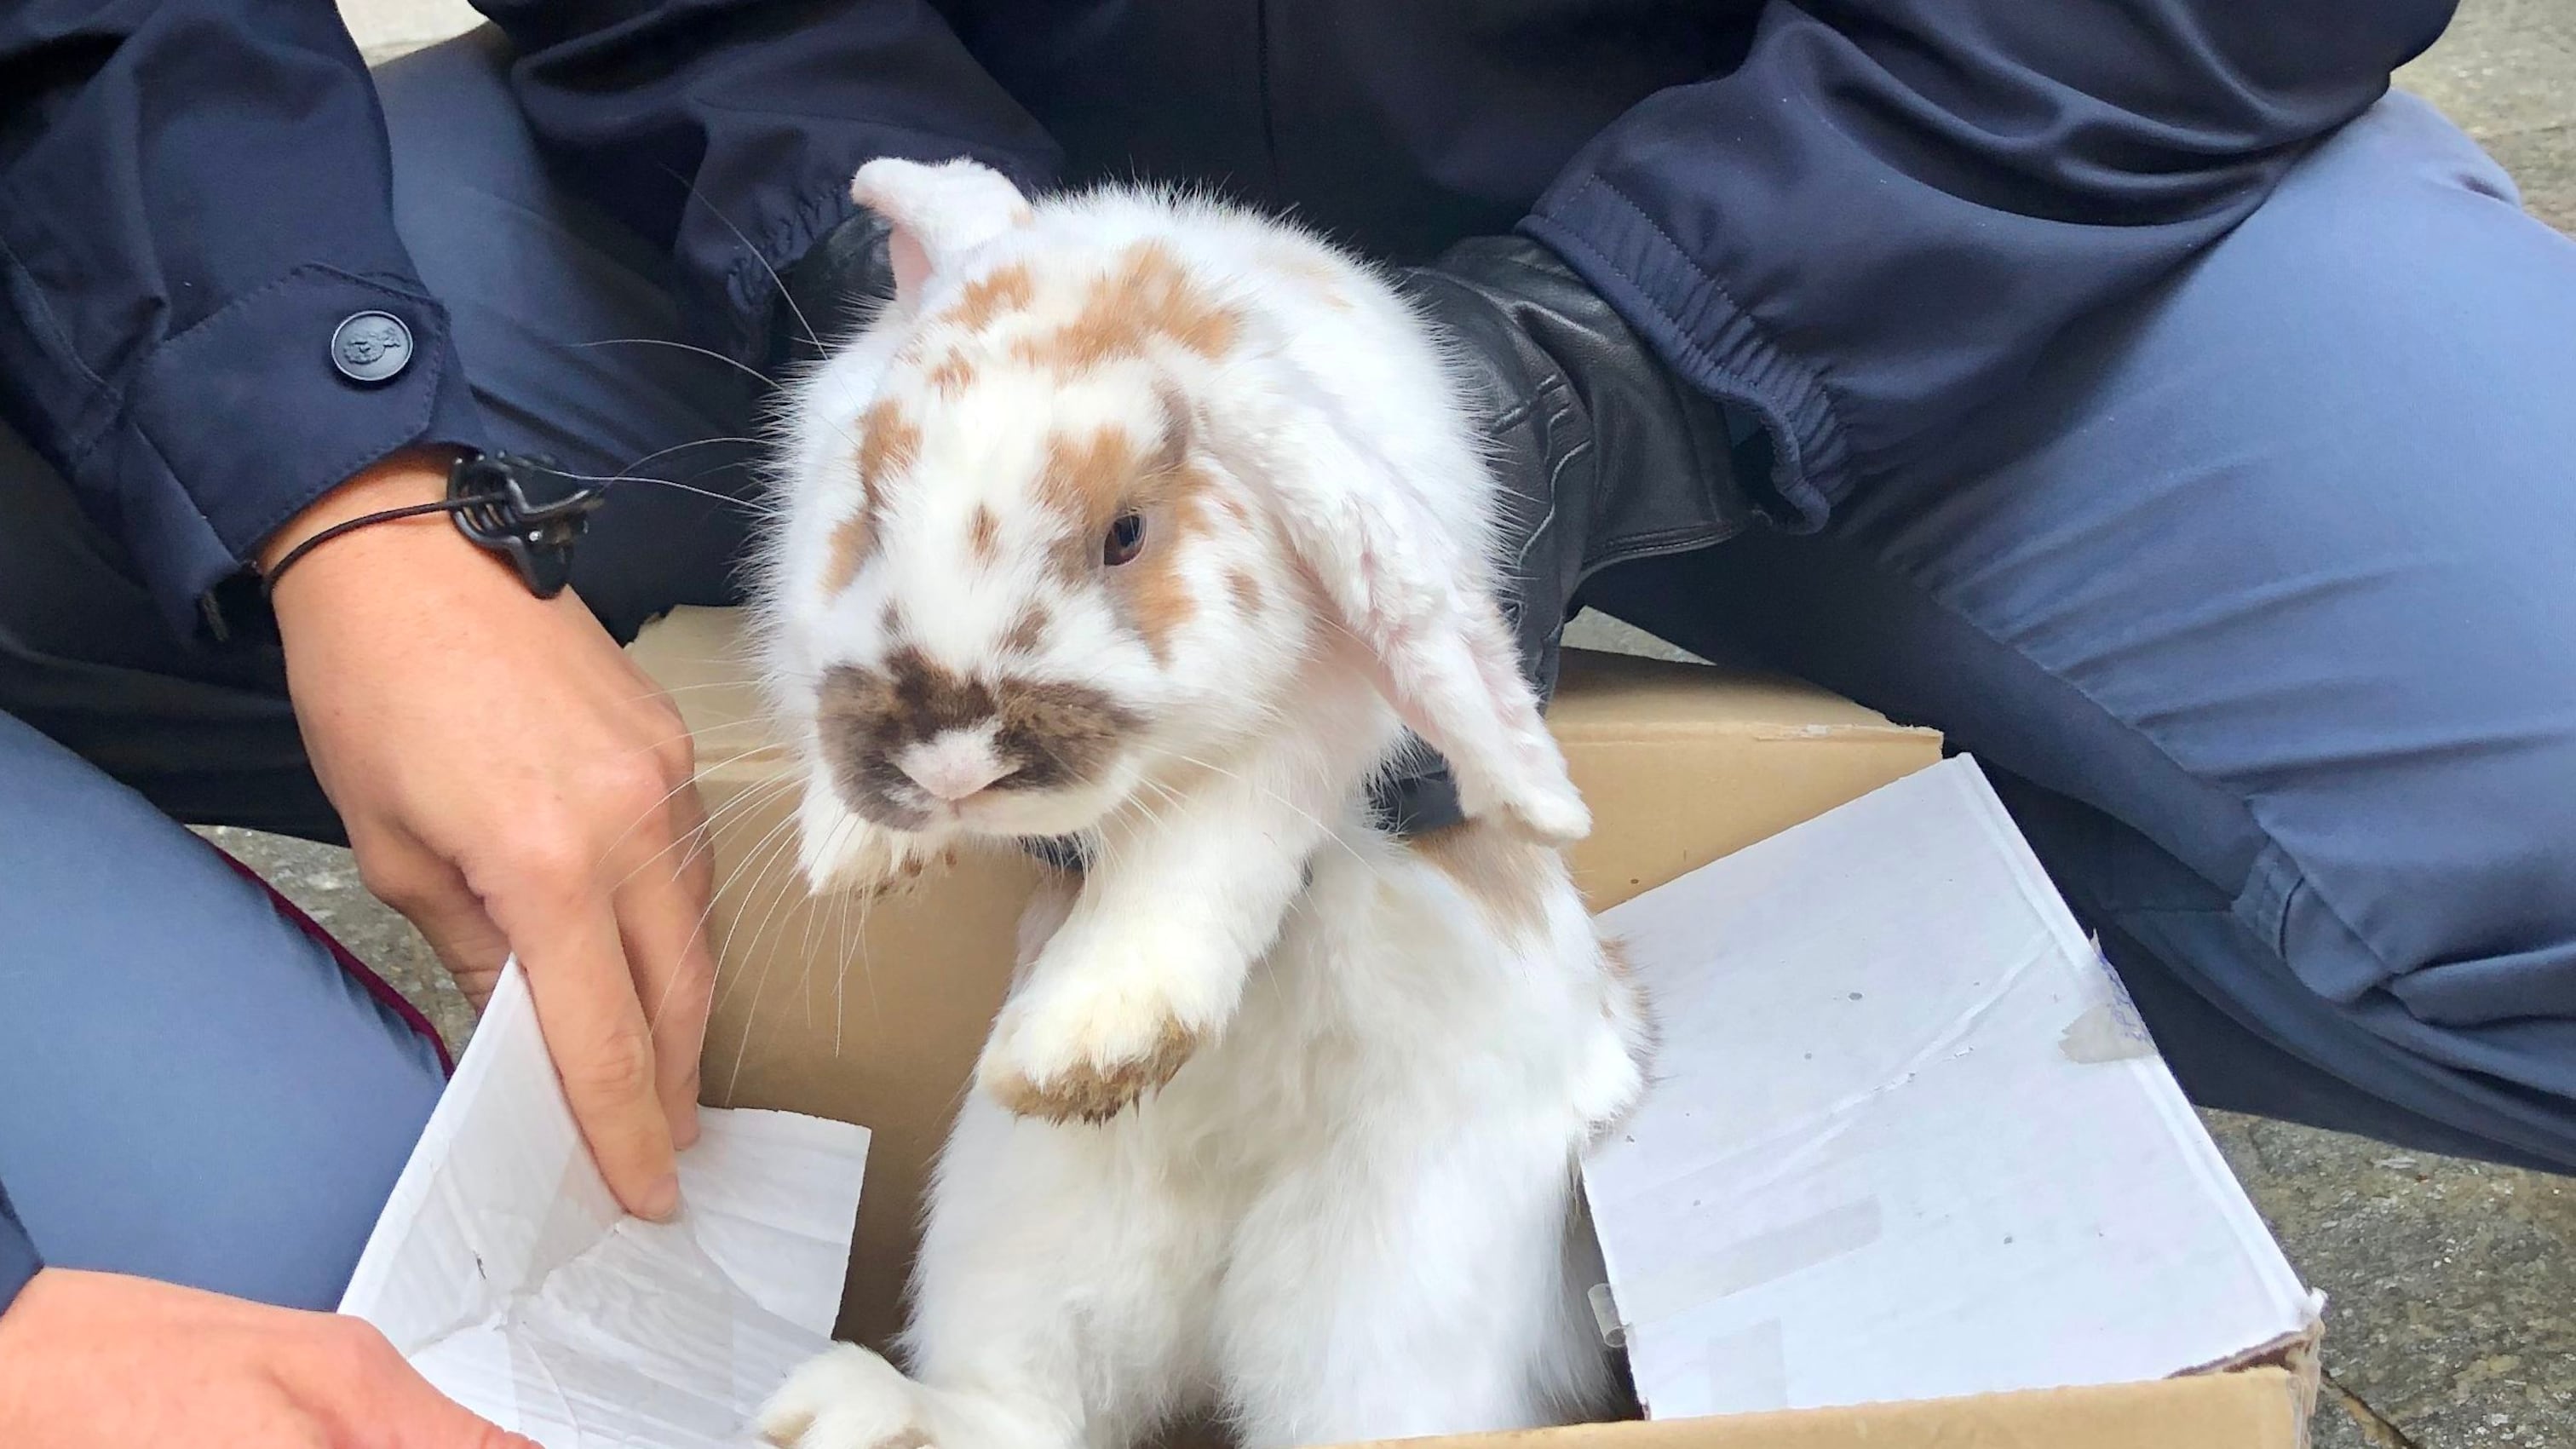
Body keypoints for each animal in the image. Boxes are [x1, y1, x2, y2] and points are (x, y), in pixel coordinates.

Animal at [745, 155, 1655, 1449]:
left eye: (1128, 533)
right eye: (867, 508)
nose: (954, 764)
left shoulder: (1309, 734)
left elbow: (1203, 846)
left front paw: (1086, 1048)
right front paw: (857, 848)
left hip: (1390, 1291)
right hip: (1024, 1229)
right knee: (1026, 1408)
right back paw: (856, 1414)